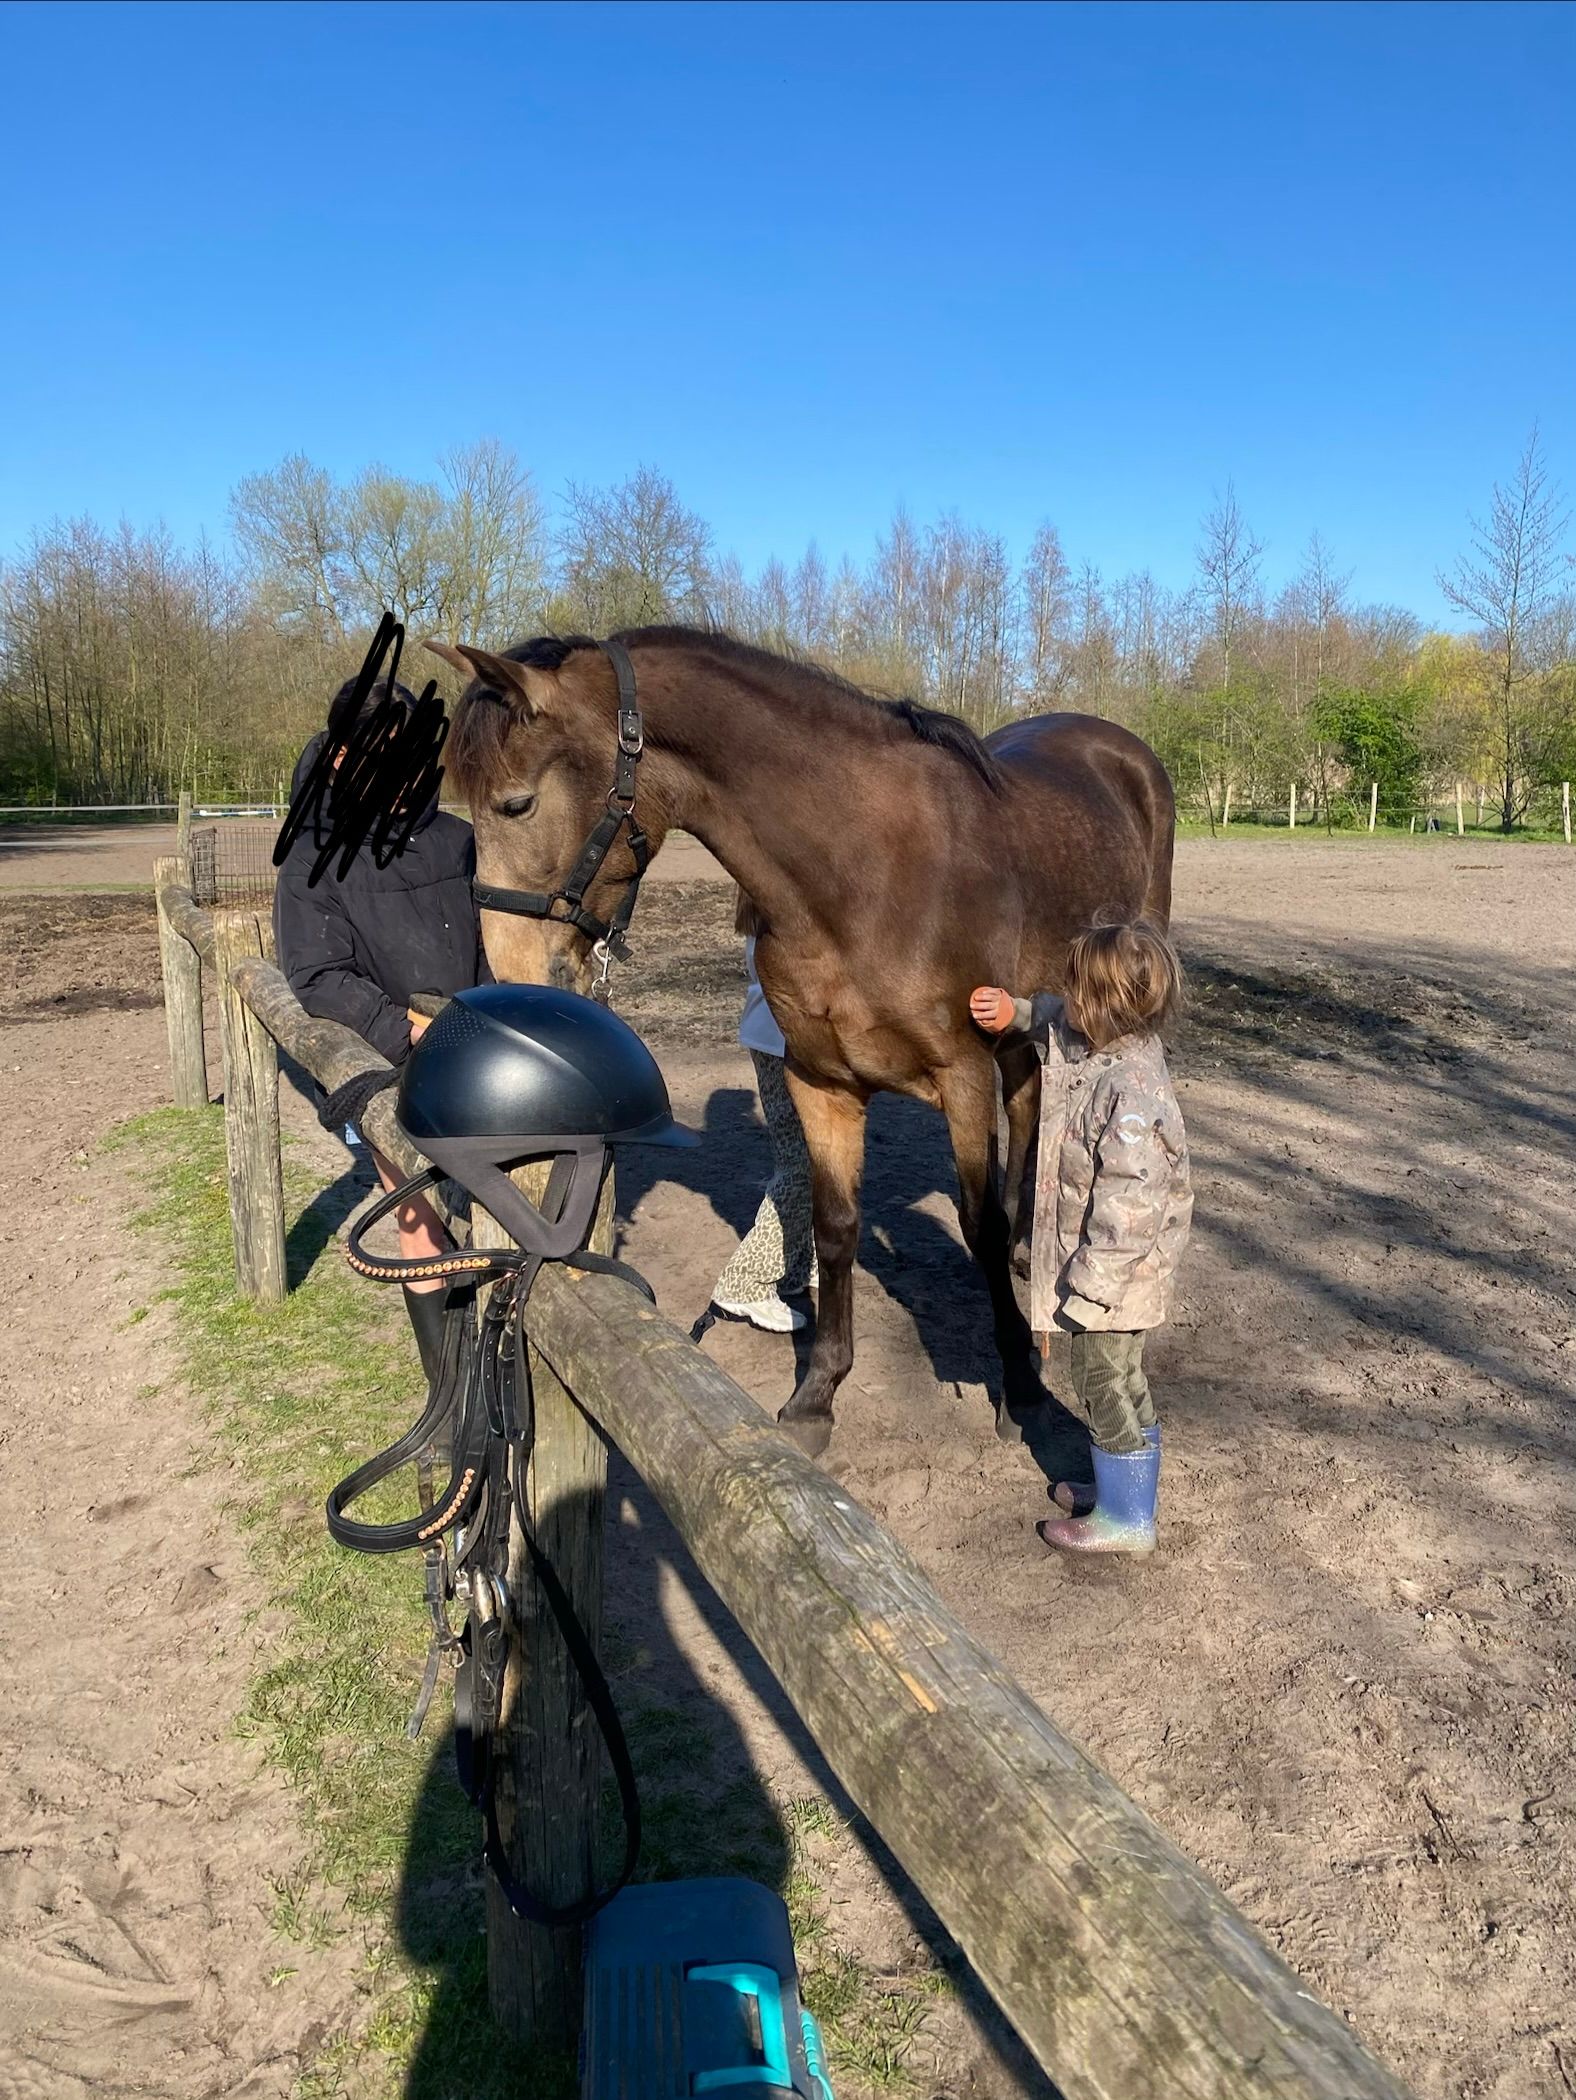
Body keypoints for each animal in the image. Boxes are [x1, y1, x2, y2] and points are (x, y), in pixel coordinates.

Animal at [428, 628, 1174, 1456]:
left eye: (516, 803)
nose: (511, 976)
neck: (861, 876)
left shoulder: (963, 1073)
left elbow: (976, 1225)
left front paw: (1025, 1388)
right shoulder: (823, 1083)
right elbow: (834, 1226)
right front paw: (818, 1394)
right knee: (1029, 1106)